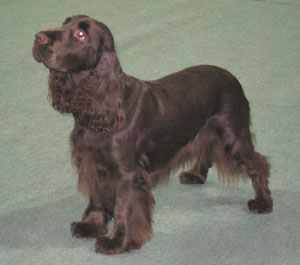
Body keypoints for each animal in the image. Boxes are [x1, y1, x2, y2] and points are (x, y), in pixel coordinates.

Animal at [31, 14, 274, 254]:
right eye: (64, 23)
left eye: (81, 34)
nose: (38, 37)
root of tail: (231, 76)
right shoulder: (93, 163)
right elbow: (97, 198)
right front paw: (90, 226)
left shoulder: (128, 174)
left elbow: (123, 209)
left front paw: (117, 242)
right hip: (206, 130)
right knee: (207, 149)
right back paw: (195, 175)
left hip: (233, 133)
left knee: (258, 162)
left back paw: (263, 202)